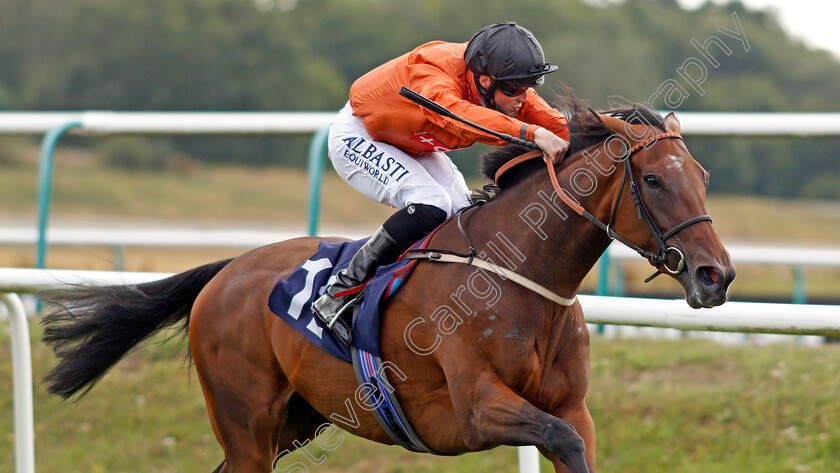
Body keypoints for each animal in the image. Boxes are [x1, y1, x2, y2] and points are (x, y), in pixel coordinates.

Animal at [39, 97, 736, 472]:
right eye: (654, 180)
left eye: (703, 175)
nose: (717, 274)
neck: (521, 275)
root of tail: (227, 269)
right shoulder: (479, 407)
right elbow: (552, 436)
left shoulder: (572, 409)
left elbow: (576, 443)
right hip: (246, 420)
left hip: (296, 420)